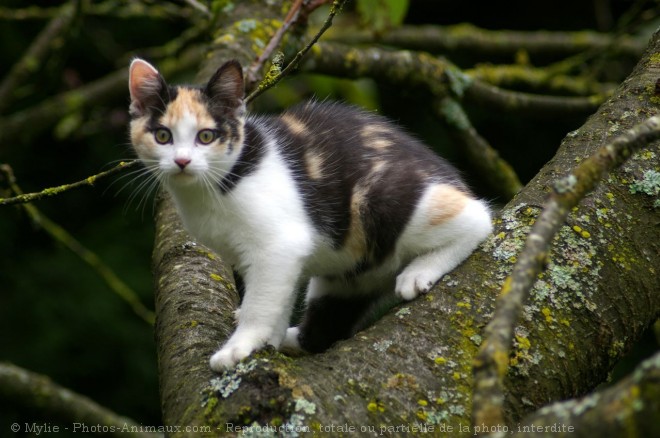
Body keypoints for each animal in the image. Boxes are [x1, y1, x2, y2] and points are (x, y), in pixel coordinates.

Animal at [129, 57, 492, 370]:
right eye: (163, 136)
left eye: (206, 136)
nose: (182, 161)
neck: (216, 185)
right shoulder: (281, 257)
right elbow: (279, 295)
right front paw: (269, 339)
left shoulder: (279, 244)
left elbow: (263, 301)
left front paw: (240, 346)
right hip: (347, 272)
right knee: (327, 327)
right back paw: (297, 337)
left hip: (385, 202)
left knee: (478, 217)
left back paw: (420, 272)